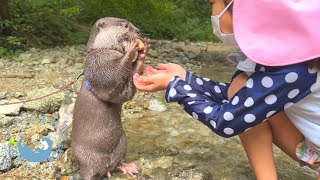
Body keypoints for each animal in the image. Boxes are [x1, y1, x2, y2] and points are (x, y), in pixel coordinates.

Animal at [70, 16, 147, 179]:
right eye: (125, 25)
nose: (138, 31)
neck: (104, 50)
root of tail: (105, 168)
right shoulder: (98, 66)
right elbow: (115, 78)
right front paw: (131, 49)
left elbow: (125, 93)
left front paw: (143, 55)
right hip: (86, 158)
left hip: (122, 143)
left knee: (117, 163)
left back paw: (129, 167)